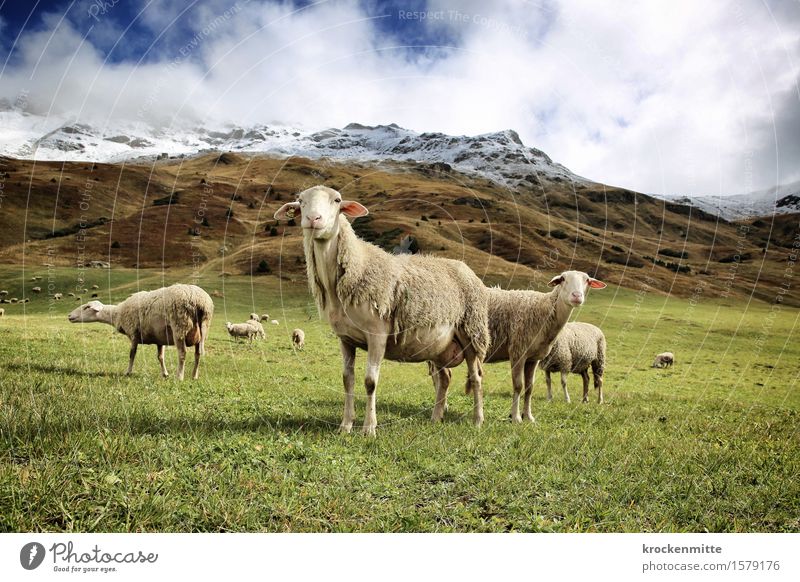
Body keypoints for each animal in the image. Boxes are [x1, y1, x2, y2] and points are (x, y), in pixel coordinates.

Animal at [67, 284, 214, 384]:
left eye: (86, 307)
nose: (69, 316)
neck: (117, 313)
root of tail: (200, 302)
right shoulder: (160, 338)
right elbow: (160, 357)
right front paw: (165, 374)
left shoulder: (133, 333)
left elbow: (132, 354)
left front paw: (128, 372)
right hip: (203, 330)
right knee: (198, 354)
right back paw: (194, 376)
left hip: (180, 326)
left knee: (182, 353)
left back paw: (180, 376)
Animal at [274, 185, 488, 436]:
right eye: (301, 201)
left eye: (337, 200)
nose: (313, 219)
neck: (357, 267)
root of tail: (464, 267)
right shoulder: (345, 338)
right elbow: (347, 379)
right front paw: (345, 425)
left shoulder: (377, 334)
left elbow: (370, 382)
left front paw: (369, 428)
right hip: (439, 346)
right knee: (445, 377)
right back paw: (436, 418)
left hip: (471, 333)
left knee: (476, 377)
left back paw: (478, 420)